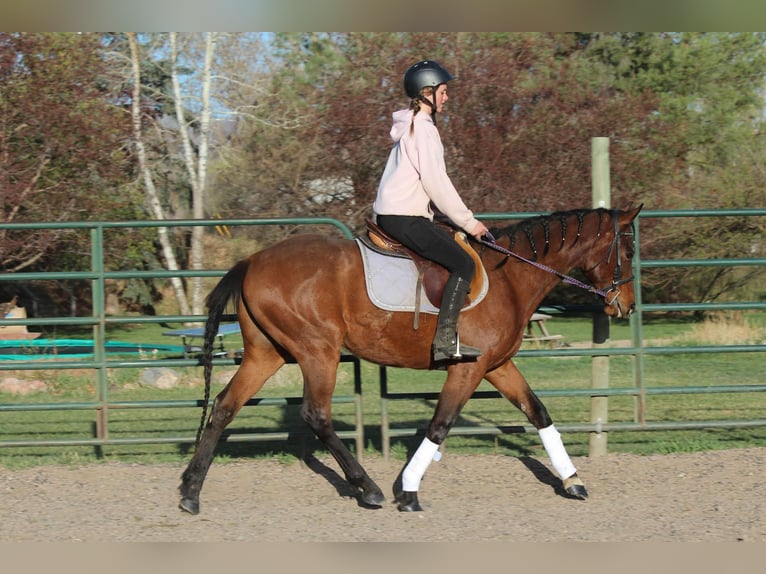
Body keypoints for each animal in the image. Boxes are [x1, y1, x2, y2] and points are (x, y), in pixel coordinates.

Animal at [179, 205, 642, 514]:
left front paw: (572, 480)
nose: (627, 306)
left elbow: (538, 412)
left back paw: (190, 490)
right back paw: (367, 488)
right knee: (316, 415)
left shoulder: (496, 366)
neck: (510, 278)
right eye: (630, 249)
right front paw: (408, 491)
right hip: (317, 350)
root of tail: (252, 261)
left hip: (266, 354)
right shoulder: (468, 368)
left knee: (223, 407)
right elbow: (440, 424)